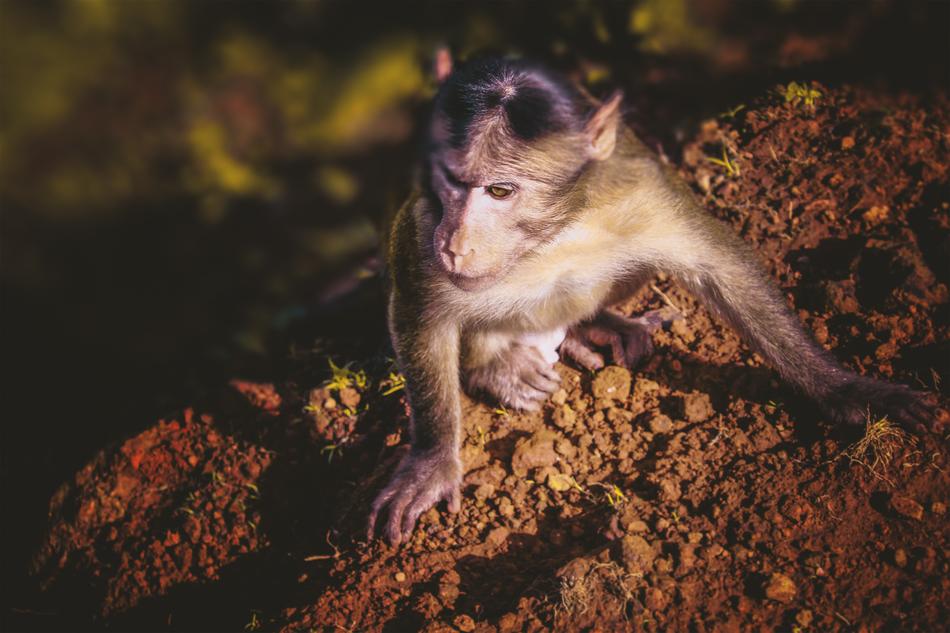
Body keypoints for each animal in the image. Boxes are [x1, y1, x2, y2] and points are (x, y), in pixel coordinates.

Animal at [366, 55, 937, 545]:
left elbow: (721, 267)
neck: (550, 233)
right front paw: (432, 460)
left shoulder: (640, 189)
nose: (454, 243)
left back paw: (596, 325)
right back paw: (500, 366)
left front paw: (848, 389)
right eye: (449, 181)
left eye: (499, 191)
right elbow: (421, 312)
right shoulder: (422, 226)